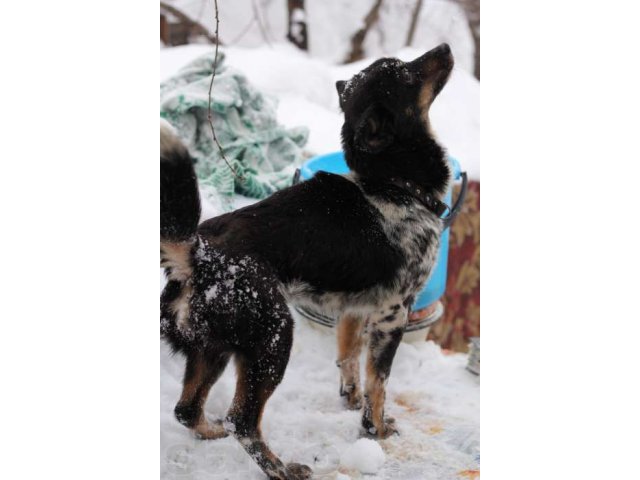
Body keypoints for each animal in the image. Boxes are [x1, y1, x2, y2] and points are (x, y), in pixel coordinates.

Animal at [164, 43, 456, 478]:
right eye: (406, 74)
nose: (445, 48)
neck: (392, 184)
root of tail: (197, 254)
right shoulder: (393, 315)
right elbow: (379, 384)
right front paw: (376, 430)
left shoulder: (353, 310)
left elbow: (349, 361)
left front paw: (350, 400)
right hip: (273, 339)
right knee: (242, 421)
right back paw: (280, 468)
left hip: (213, 349)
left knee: (186, 410)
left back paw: (211, 432)